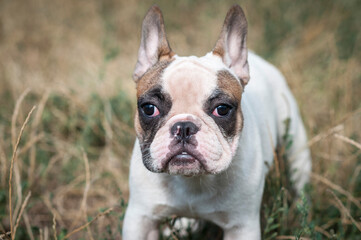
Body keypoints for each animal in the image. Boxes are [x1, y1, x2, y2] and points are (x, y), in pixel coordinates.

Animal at [122, 4, 310, 240]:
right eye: (149, 108)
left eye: (222, 109)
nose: (184, 127)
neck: (193, 182)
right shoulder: (141, 219)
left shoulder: (241, 226)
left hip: (296, 146)